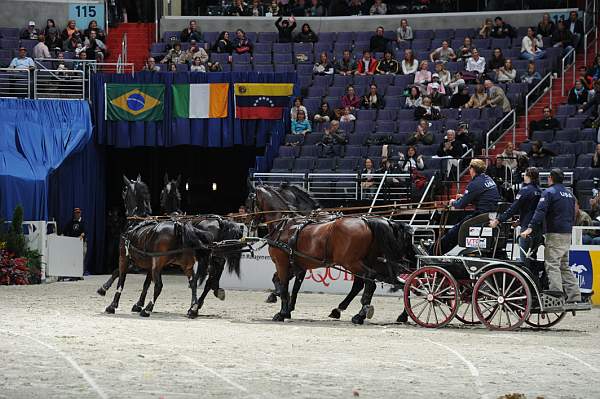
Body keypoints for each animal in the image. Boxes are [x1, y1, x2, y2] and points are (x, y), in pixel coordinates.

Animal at [246, 186, 414, 324]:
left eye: (248, 202)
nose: (249, 223)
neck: (285, 225)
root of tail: (367, 222)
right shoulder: (299, 266)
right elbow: (290, 287)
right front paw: (286, 309)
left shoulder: (281, 262)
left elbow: (283, 285)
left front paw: (281, 312)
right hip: (374, 262)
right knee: (403, 283)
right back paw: (403, 314)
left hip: (351, 262)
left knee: (370, 281)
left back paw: (360, 314)